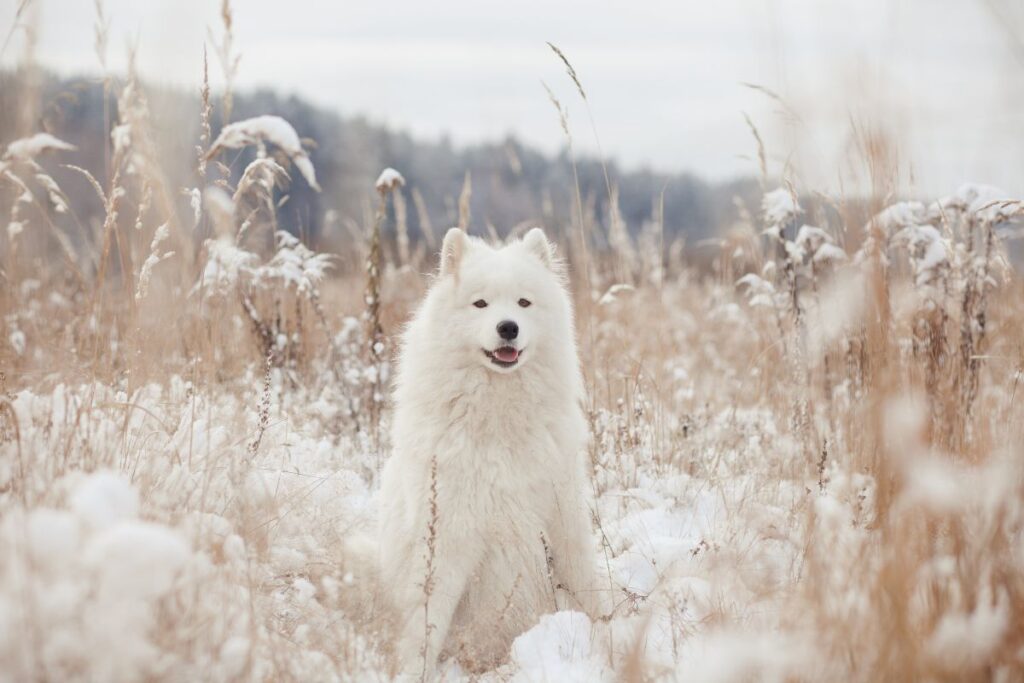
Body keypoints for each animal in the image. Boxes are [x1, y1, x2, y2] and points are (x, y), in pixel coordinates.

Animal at [382, 225, 606, 671]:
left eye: (524, 302)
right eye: (480, 303)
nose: (508, 328)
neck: (498, 415)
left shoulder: (563, 515)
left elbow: (583, 581)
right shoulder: (448, 534)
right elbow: (426, 621)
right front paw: (415, 670)